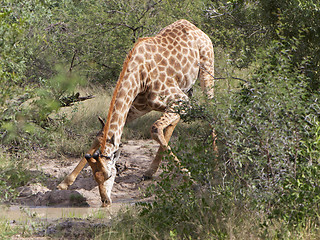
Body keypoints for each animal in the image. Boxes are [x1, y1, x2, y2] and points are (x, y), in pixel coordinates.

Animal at [57, 19, 215, 206]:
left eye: (110, 175)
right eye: (95, 177)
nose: (105, 201)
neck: (139, 76)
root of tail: (194, 27)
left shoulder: (180, 100)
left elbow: (155, 128)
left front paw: (192, 181)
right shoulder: (137, 108)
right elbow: (101, 134)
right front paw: (64, 183)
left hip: (206, 71)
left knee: (212, 112)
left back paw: (216, 162)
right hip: (184, 91)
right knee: (175, 122)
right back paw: (150, 171)